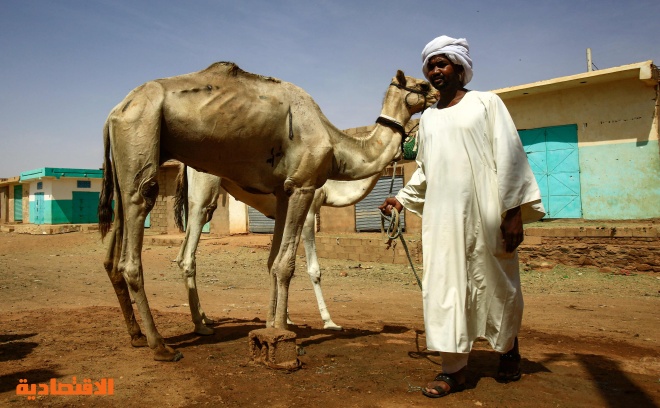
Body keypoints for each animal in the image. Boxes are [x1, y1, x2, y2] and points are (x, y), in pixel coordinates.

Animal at [98, 60, 436, 360]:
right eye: (421, 85)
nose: (437, 93)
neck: (337, 150)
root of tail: (115, 111)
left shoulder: (282, 193)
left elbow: (273, 263)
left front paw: (274, 325)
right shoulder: (304, 190)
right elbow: (295, 266)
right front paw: (313, 326)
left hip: (129, 158)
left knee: (120, 236)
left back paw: (143, 334)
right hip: (150, 142)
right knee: (148, 229)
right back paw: (164, 344)